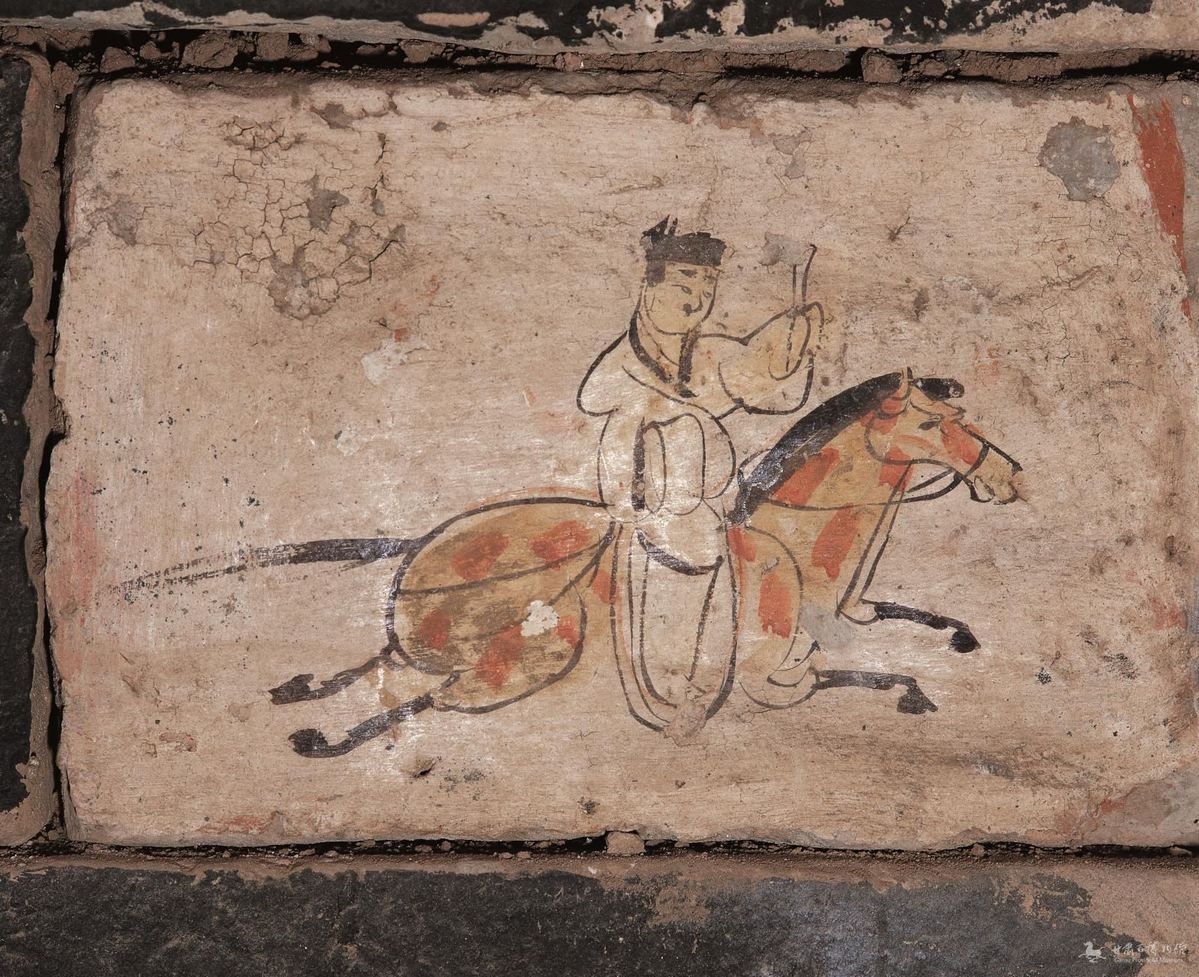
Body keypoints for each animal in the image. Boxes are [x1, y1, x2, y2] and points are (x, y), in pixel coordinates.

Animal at [269, 369, 1021, 757]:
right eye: (930, 424)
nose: (1006, 477)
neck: (796, 544)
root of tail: (426, 548)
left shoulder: (845, 619)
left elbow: (895, 619)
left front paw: (956, 636)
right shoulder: (769, 681)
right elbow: (866, 673)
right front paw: (915, 689)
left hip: (448, 643)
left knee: (387, 664)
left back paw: (303, 689)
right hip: (546, 648)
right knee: (422, 696)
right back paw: (322, 737)